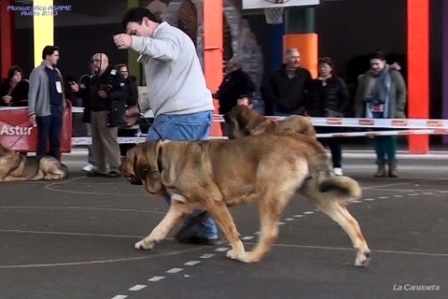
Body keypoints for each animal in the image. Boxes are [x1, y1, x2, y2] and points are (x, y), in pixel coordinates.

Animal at [120, 134, 372, 268]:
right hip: (317, 194)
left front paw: (238, 251)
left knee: (269, 233)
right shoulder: (181, 205)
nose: (119, 165)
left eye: (128, 157)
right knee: (350, 222)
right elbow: (160, 227)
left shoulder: (215, 202)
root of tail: (300, 140)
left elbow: (231, 230)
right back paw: (362, 254)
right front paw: (147, 242)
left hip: (269, 194)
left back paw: (251, 257)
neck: (162, 158)